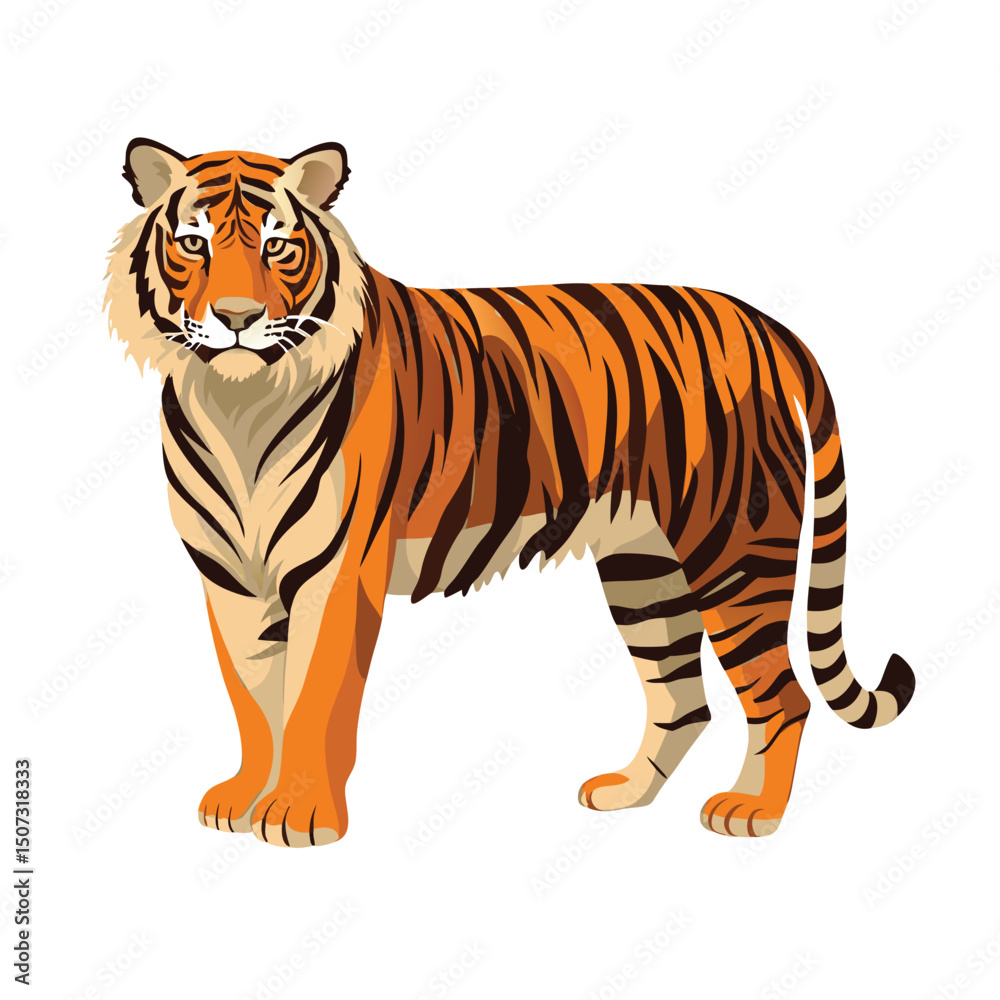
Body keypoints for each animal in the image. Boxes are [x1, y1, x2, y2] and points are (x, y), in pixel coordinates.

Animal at [104, 137, 915, 848]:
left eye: (278, 247)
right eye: (193, 243)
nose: (237, 318)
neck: (235, 402)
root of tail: (767, 325)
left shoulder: (334, 576)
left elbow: (311, 698)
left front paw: (300, 816)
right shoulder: (231, 579)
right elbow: (252, 697)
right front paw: (245, 799)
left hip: (736, 550)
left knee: (782, 694)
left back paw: (752, 811)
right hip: (645, 567)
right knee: (683, 699)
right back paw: (625, 792)